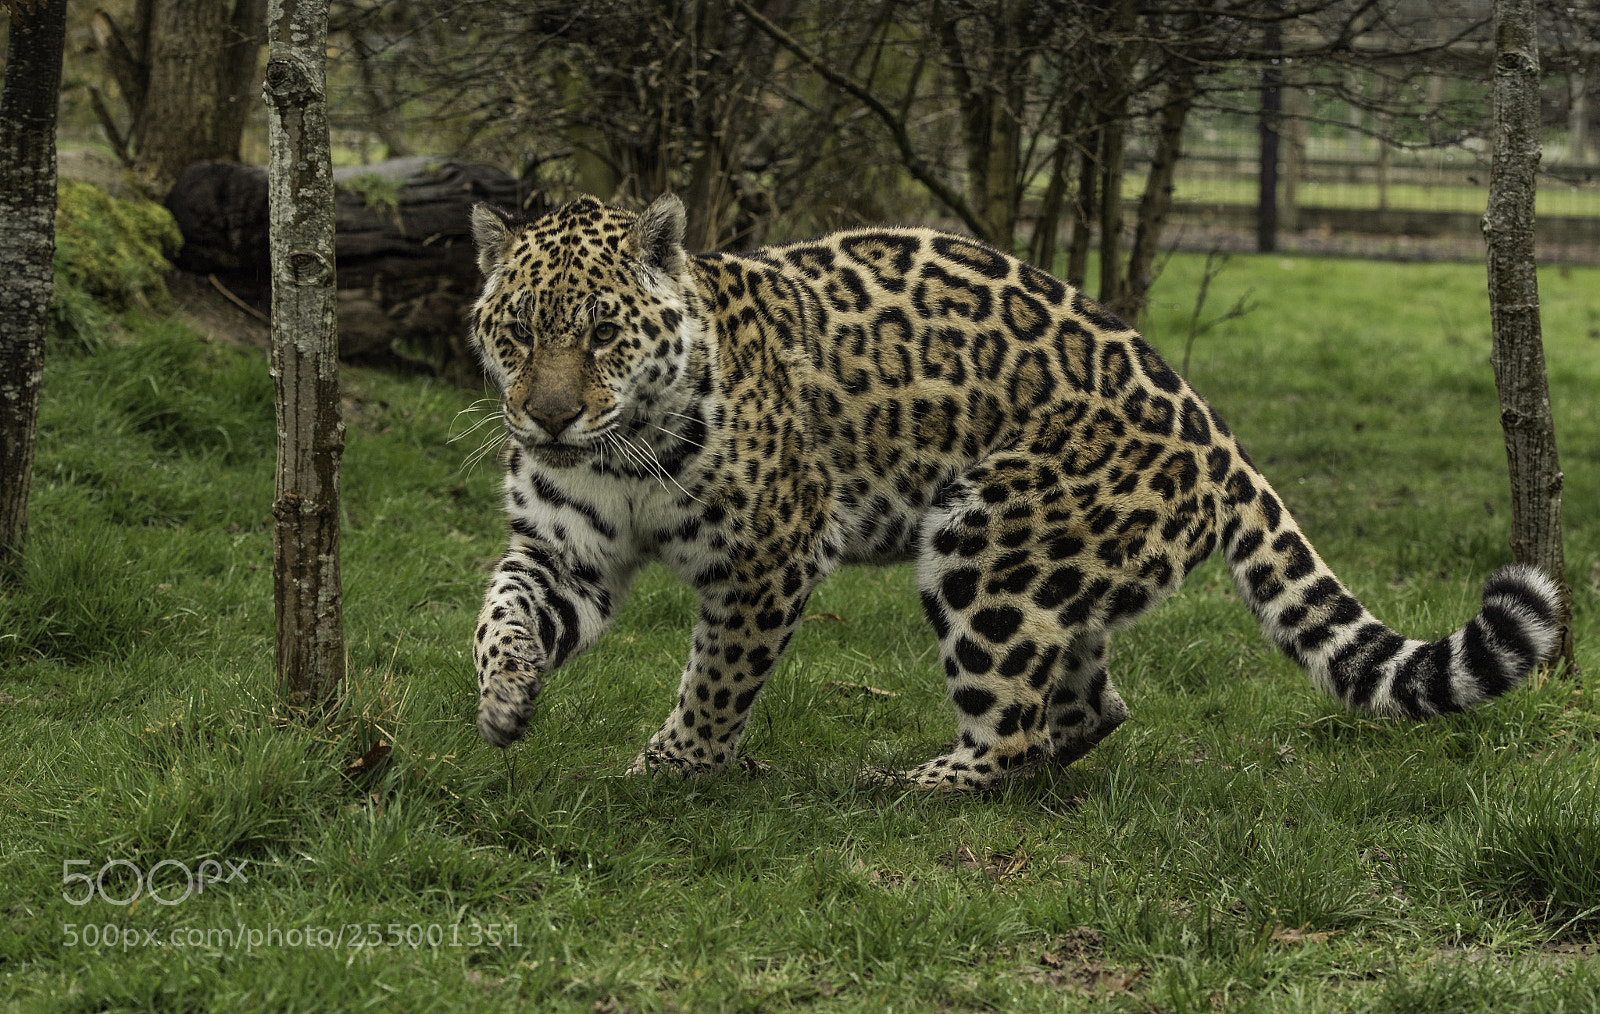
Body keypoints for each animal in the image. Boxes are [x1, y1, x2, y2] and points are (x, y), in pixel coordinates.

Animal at [465, 192, 1563, 791]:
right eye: (516, 332)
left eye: (603, 333)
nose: (548, 417)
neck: (617, 452)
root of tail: (1215, 431)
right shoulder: (564, 550)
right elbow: (500, 612)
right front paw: (505, 700)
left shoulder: (772, 553)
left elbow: (717, 677)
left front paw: (673, 770)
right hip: (1044, 569)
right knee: (1091, 702)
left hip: (981, 540)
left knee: (1016, 723)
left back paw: (910, 782)